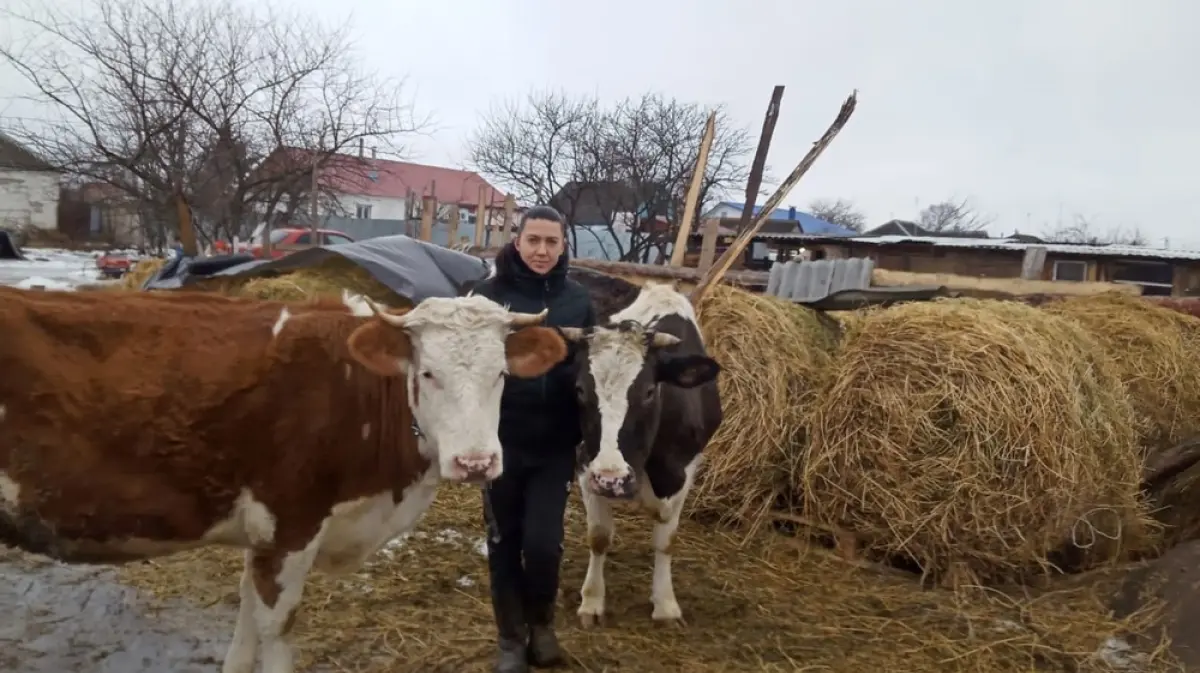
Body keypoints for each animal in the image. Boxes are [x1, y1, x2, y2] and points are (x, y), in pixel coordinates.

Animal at [0, 287, 568, 671]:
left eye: (501, 374)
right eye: (428, 373)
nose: (477, 462)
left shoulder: (264, 537)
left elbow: (247, 620)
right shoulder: (292, 520)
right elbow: (277, 626)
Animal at [559, 279, 720, 623]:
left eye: (648, 391)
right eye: (579, 389)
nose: (612, 479)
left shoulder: (685, 472)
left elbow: (666, 540)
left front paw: (665, 603)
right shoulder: (587, 466)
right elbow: (599, 536)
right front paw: (592, 600)